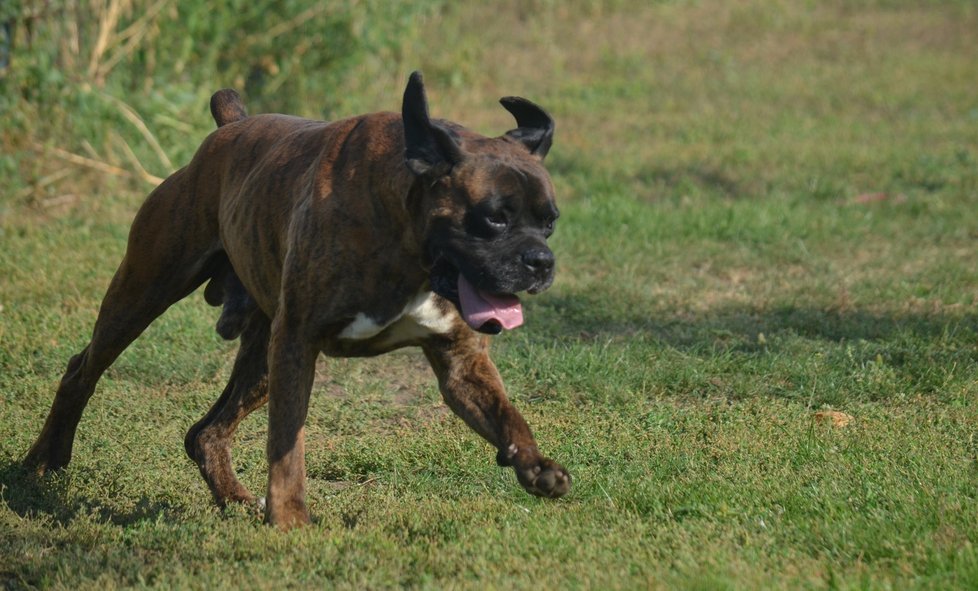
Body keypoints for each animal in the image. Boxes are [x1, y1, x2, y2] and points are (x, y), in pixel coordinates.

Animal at [21, 71, 572, 528]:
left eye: (549, 223)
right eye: (493, 218)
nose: (541, 261)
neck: (403, 237)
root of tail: (228, 128)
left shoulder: (461, 364)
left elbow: (507, 414)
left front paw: (534, 465)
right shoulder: (297, 345)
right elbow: (287, 446)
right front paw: (289, 521)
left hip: (260, 355)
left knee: (206, 432)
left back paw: (236, 500)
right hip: (145, 292)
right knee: (82, 370)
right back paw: (42, 463)